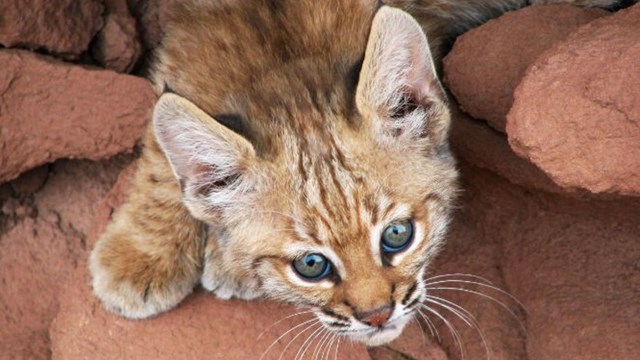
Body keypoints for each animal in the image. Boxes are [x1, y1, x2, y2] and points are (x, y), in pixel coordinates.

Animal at [90, 0, 620, 346]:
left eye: (398, 235)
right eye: (311, 265)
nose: (377, 316)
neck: (281, 57)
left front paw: (222, 261)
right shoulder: (186, 45)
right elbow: (160, 144)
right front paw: (142, 256)